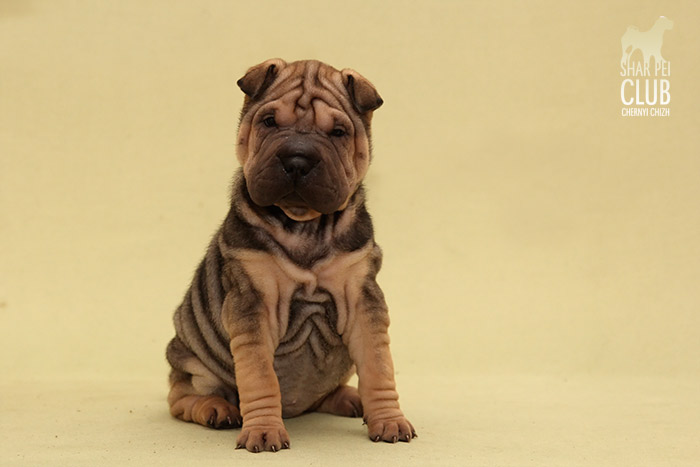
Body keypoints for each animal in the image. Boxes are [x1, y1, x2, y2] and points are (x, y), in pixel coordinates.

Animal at [166, 59, 415, 453]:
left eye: (338, 132)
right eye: (269, 122)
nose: (297, 159)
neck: (304, 225)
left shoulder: (364, 299)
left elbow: (379, 367)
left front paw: (389, 420)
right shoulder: (252, 304)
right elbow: (259, 377)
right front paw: (263, 431)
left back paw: (349, 398)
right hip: (192, 361)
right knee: (180, 397)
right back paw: (215, 408)